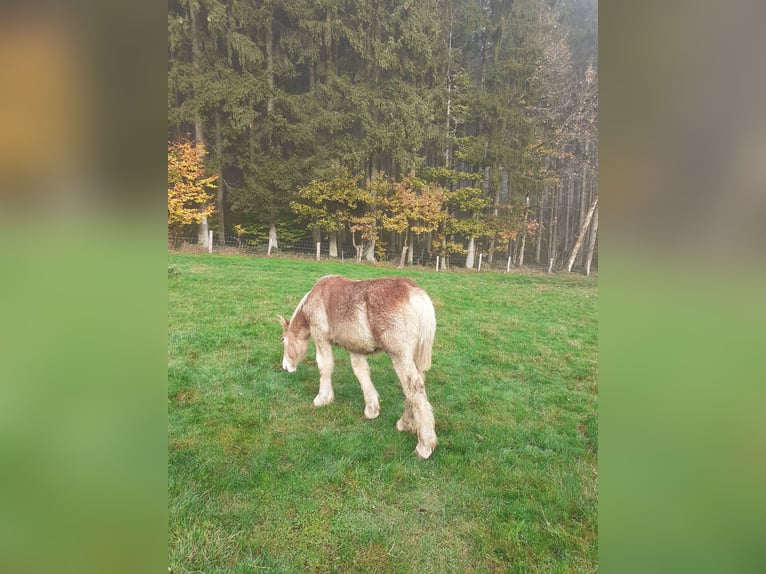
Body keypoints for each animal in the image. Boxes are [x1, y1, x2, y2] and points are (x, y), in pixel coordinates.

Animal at [280, 276, 438, 462]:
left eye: (283, 339)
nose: (285, 366)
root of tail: (415, 293)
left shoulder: (321, 338)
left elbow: (325, 366)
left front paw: (322, 398)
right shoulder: (355, 347)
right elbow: (361, 372)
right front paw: (371, 409)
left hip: (400, 355)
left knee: (414, 388)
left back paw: (424, 445)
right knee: (413, 392)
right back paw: (404, 424)